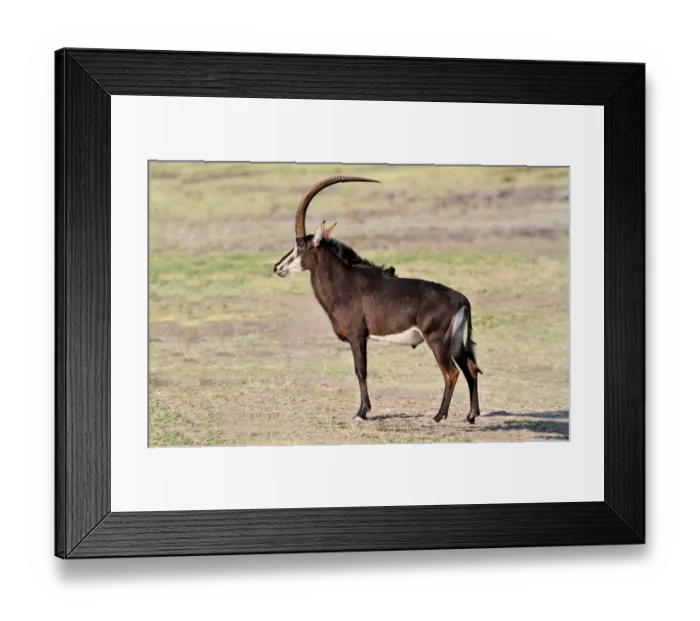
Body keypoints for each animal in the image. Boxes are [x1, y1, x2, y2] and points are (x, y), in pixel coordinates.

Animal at [273, 176, 482, 424]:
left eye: (300, 246)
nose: (277, 267)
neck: (346, 284)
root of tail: (461, 299)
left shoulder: (357, 336)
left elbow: (360, 370)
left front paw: (362, 412)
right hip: (457, 341)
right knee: (471, 367)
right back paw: (471, 415)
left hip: (438, 341)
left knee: (451, 372)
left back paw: (438, 416)